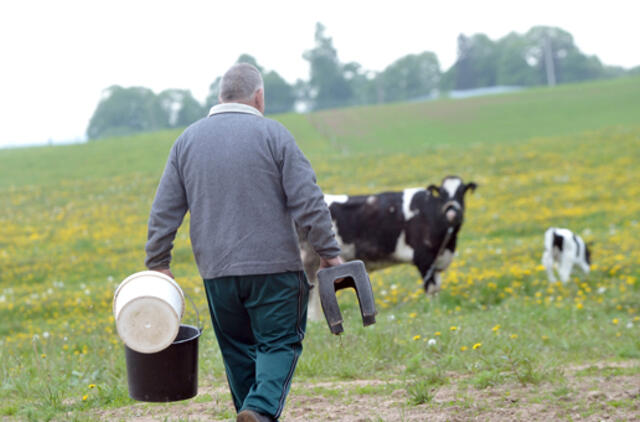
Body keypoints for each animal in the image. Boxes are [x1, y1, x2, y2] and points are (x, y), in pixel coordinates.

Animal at [300, 175, 476, 320]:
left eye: (462, 193)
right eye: (443, 194)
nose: (452, 214)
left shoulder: (436, 262)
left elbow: (437, 288)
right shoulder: (423, 259)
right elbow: (431, 289)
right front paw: (434, 309)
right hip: (308, 259)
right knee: (312, 291)